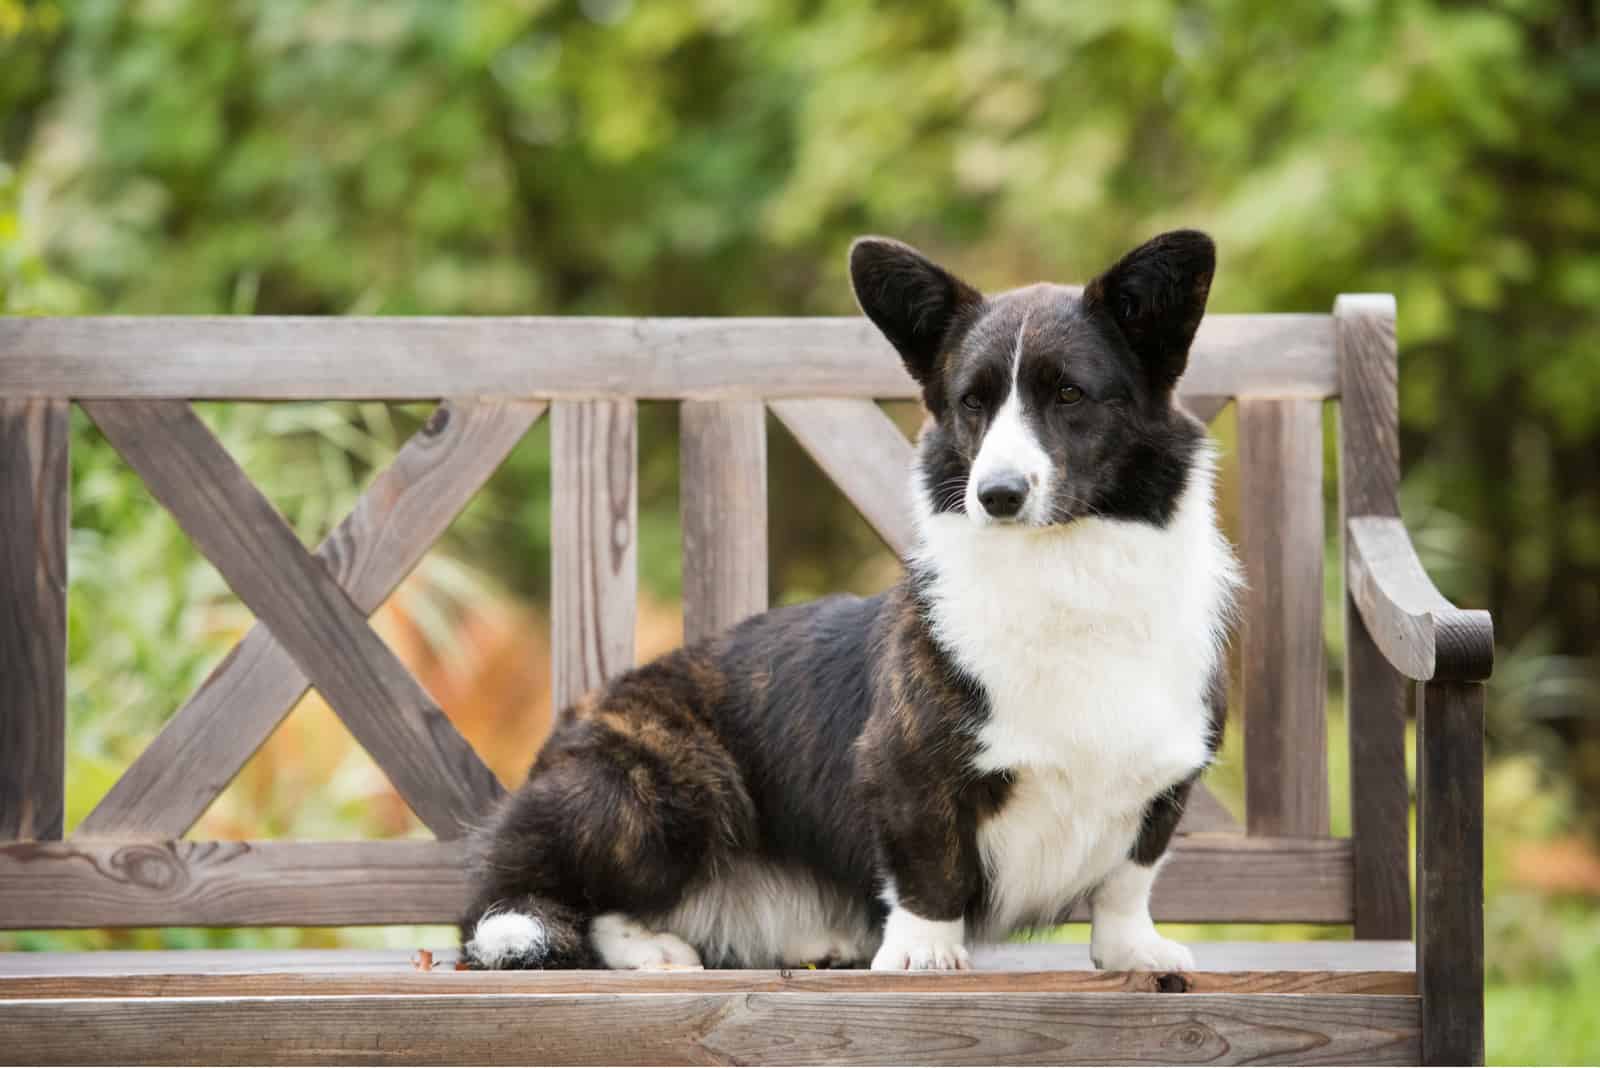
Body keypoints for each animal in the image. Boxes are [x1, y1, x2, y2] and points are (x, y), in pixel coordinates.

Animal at [460, 230, 1235, 972]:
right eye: (972, 402)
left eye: (1070, 395)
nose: (997, 495)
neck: (1064, 571)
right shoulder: (905, 771)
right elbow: (929, 868)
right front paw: (923, 953)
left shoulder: (1162, 786)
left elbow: (1128, 881)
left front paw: (1133, 953)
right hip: (671, 788)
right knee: (549, 902)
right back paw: (650, 949)